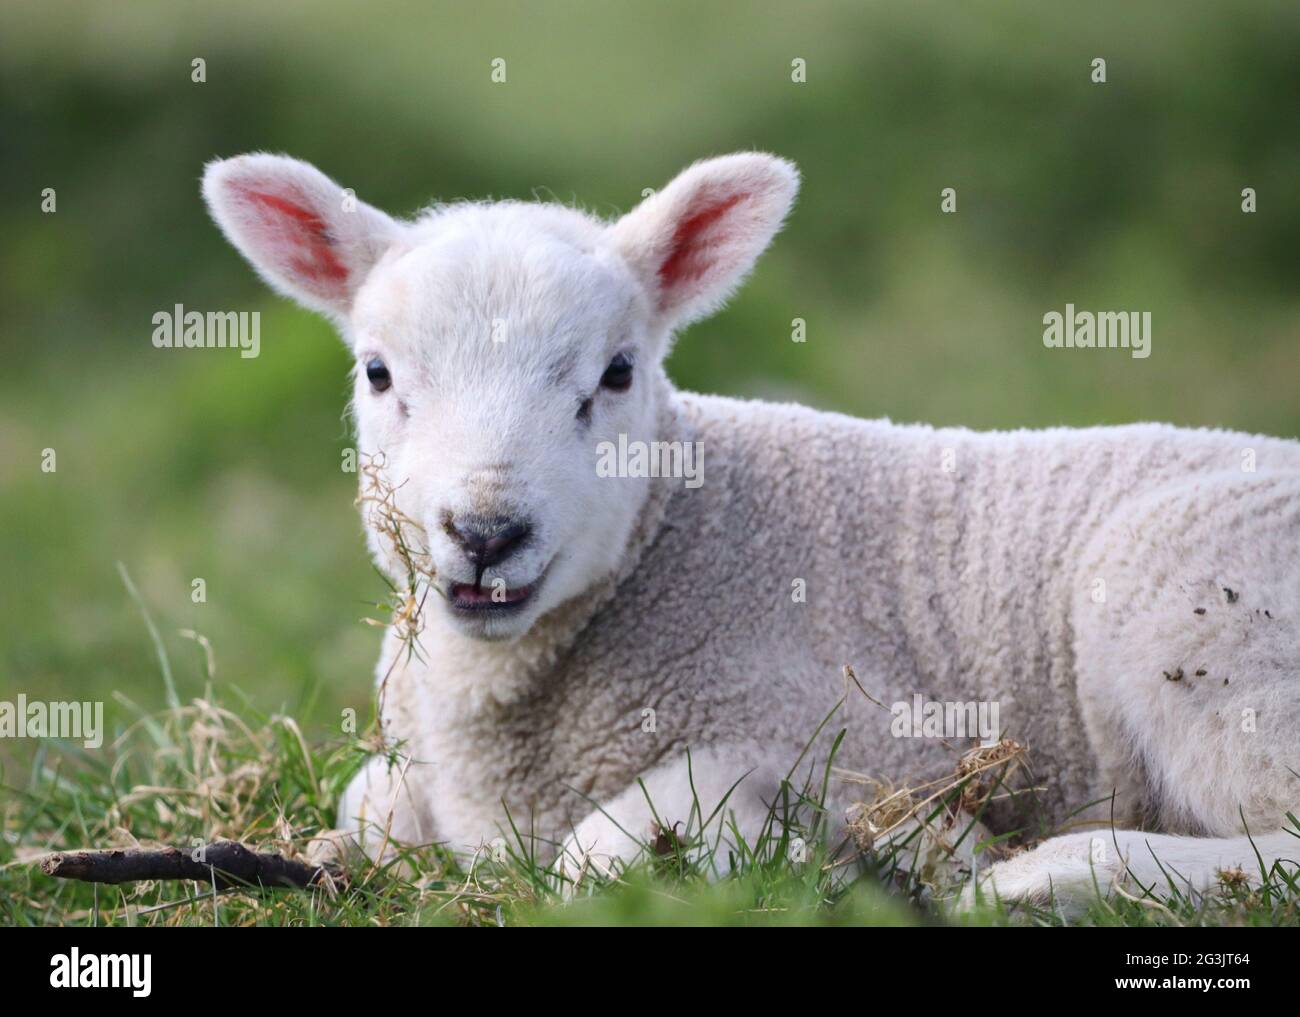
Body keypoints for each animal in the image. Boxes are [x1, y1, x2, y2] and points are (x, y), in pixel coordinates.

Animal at [202, 153, 1300, 925]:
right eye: (379, 373)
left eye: (616, 373)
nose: (485, 531)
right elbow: (365, 809)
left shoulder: (849, 737)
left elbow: (596, 857)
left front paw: (904, 855)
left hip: (1200, 618)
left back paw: (1046, 876)